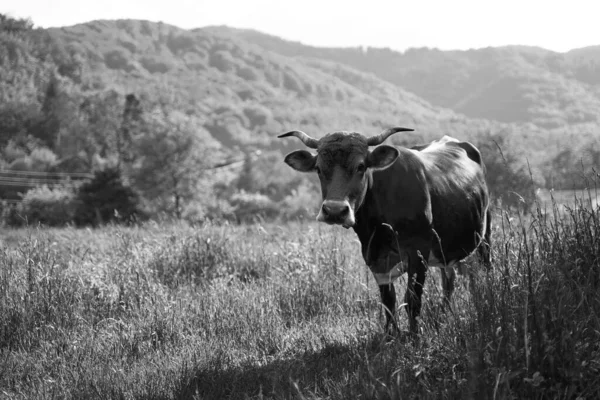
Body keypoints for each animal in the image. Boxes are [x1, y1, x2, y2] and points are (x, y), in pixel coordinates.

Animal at [278, 128, 490, 334]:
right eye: (319, 169)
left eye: (361, 166)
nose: (334, 211)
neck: (380, 227)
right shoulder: (374, 257)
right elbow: (389, 301)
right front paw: (391, 335)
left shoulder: (419, 250)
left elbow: (412, 300)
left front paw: (415, 337)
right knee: (448, 280)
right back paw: (445, 314)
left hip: (485, 232)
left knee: (484, 268)